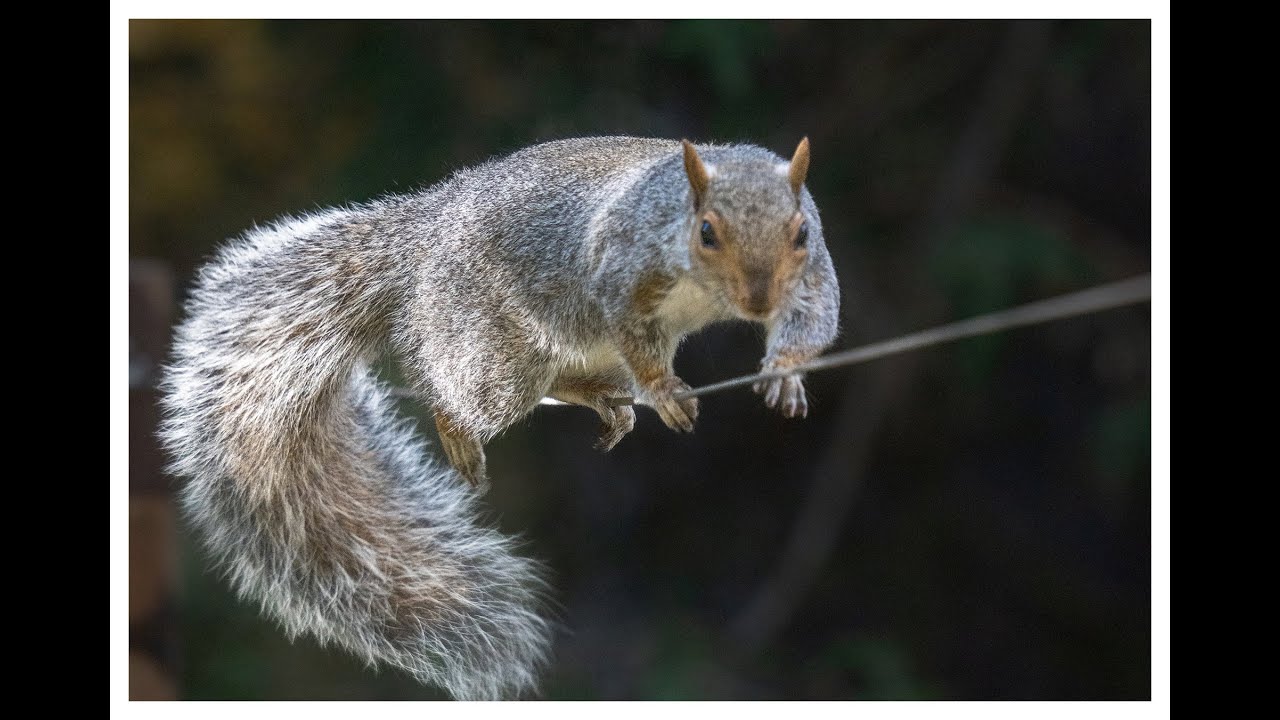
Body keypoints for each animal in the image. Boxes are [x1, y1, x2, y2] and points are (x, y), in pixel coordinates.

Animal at [159, 136, 840, 699]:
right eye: (707, 232)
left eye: (801, 232)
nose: (759, 300)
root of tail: (425, 231)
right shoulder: (624, 269)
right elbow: (635, 332)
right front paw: (664, 388)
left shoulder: (809, 275)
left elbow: (813, 315)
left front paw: (786, 370)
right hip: (491, 349)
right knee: (458, 389)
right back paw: (460, 430)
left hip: (571, 350)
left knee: (565, 379)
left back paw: (602, 400)